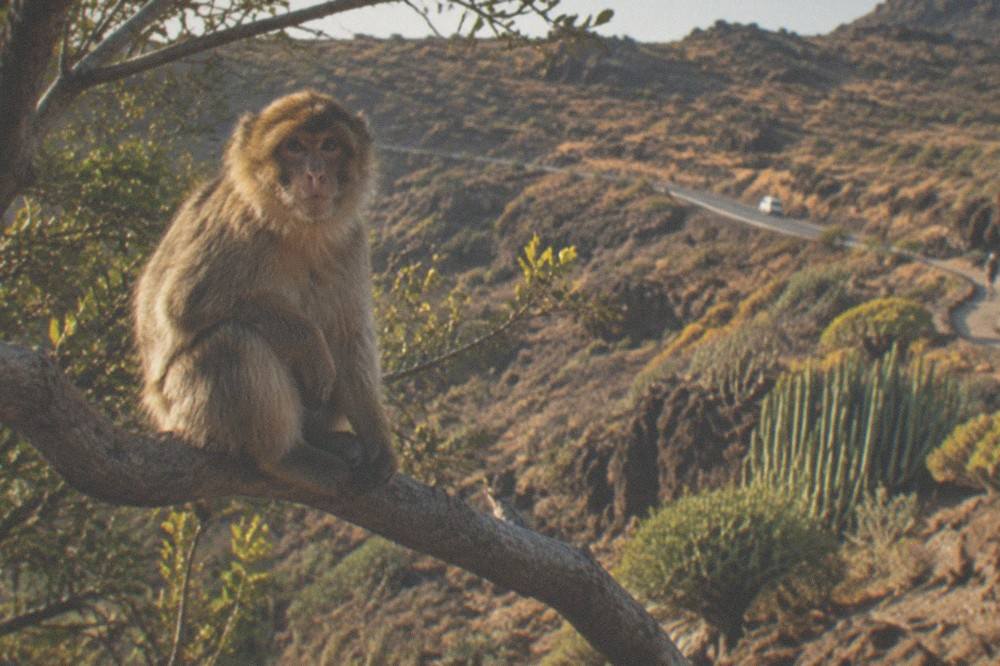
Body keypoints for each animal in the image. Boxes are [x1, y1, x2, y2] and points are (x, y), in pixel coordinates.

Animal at [133, 90, 397, 494]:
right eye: (295, 146)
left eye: (330, 145)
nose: (316, 173)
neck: (300, 230)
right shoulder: (236, 226)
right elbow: (183, 304)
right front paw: (308, 343)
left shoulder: (352, 241)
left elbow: (348, 335)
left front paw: (377, 441)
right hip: (189, 410)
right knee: (231, 342)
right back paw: (286, 455)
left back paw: (322, 439)